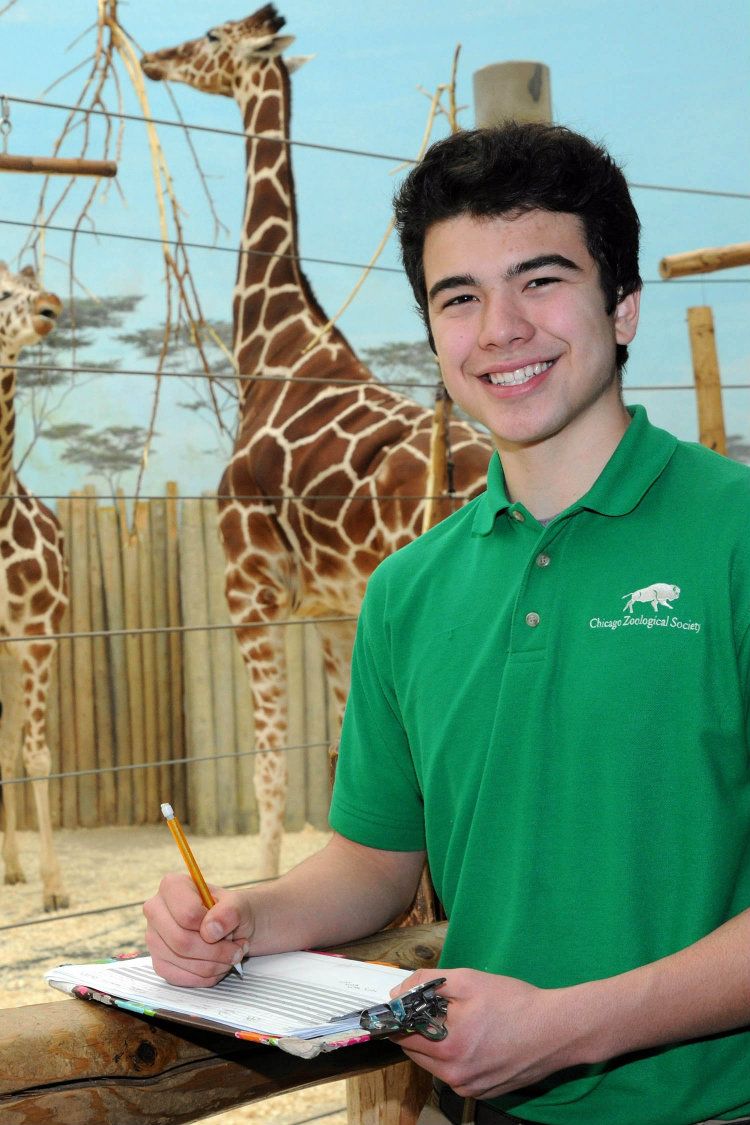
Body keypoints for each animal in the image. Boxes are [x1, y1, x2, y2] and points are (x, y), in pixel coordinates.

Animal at [141, 4, 494, 873]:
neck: (271, 350)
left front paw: (258, 886)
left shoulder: (251, 585)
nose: (155, 59)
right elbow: (340, 772)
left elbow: (269, 769)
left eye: (210, 37)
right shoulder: (334, 609)